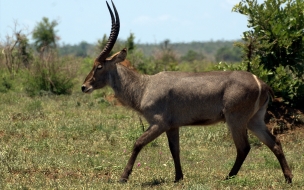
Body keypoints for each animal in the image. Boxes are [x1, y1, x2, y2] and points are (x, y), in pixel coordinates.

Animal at [81, 0, 292, 183]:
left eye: (98, 66)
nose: (84, 86)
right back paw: (288, 178)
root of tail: (261, 83)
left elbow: (138, 143)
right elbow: (175, 150)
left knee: (244, 147)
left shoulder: (159, 123)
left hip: (236, 119)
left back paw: (228, 177)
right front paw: (178, 177)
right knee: (275, 143)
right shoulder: (172, 126)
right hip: (254, 120)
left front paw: (123, 177)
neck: (144, 86)